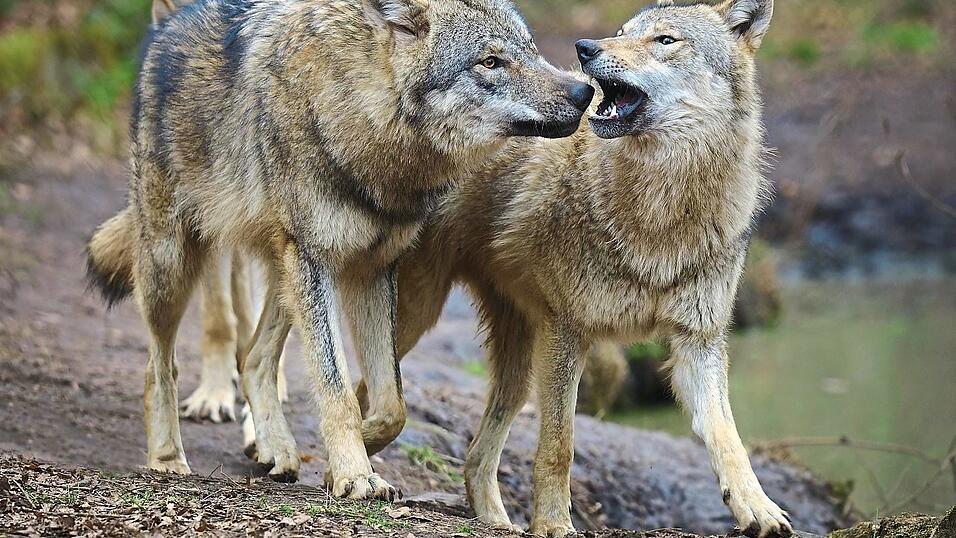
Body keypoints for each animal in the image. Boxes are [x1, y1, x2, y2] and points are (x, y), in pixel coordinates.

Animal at [85, 0, 593, 500]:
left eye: (529, 48)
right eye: (490, 61)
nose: (584, 91)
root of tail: (167, 26)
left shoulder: (374, 266)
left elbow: (392, 404)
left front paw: (353, 456)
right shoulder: (317, 260)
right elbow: (337, 391)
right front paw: (355, 475)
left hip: (286, 273)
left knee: (253, 359)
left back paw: (274, 447)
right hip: (178, 265)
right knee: (160, 366)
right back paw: (168, 459)